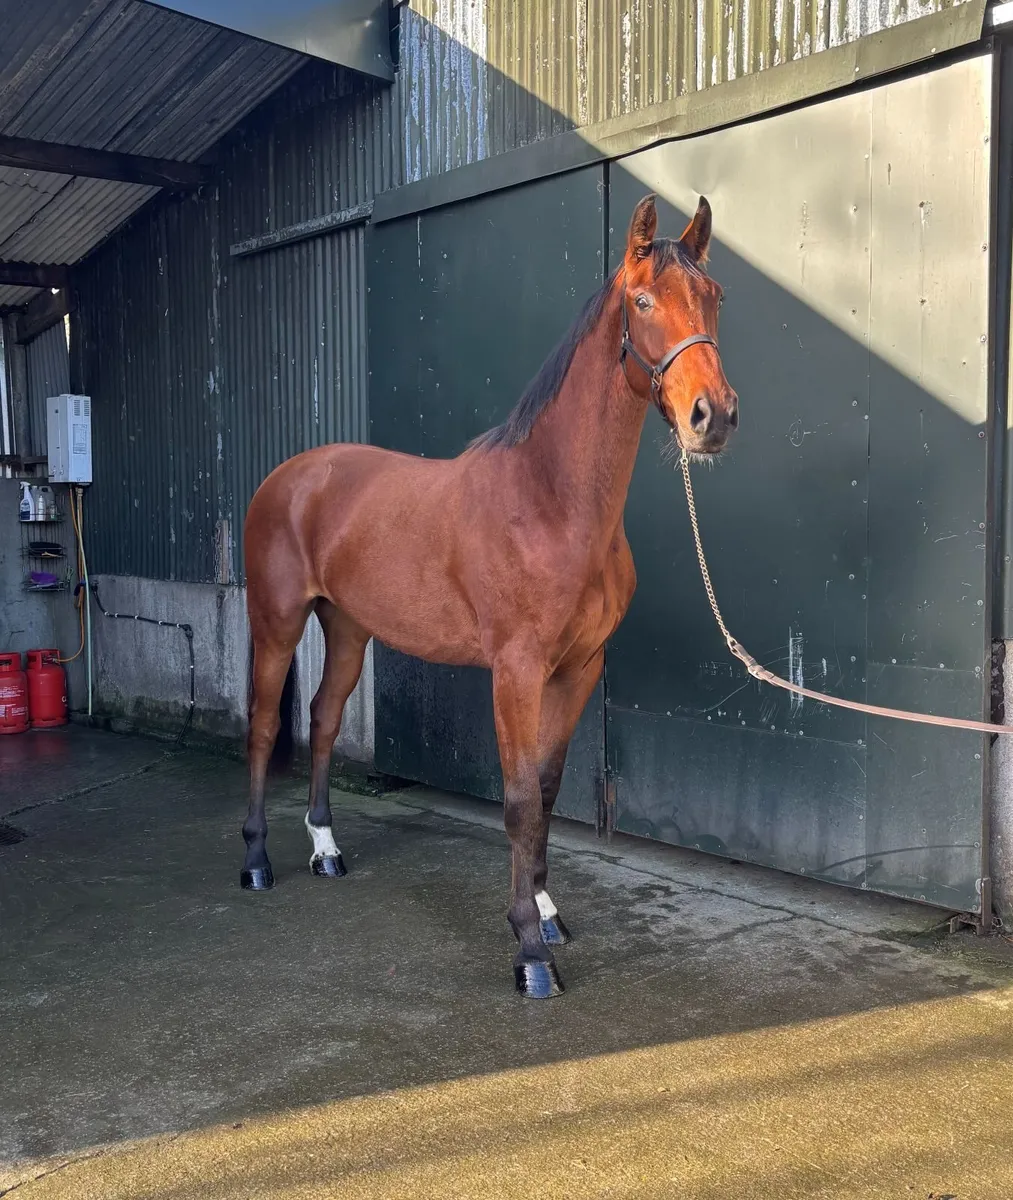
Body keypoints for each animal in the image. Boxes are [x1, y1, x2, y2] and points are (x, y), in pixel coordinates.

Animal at [241, 194, 738, 998]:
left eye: (715, 297)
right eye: (641, 301)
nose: (712, 416)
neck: (551, 501)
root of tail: (289, 476)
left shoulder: (578, 670)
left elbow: (546, 791)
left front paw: (546, 910)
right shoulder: (515, 672)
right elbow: (515, 801)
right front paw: (529, 952)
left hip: (347, 629)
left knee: (321, 718)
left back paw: (325, 849)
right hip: (277, 622)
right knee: (261, 728)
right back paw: (256, 862)